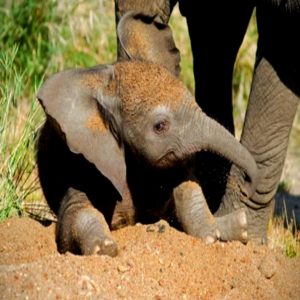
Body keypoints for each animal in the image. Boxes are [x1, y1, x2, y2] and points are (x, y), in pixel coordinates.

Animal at [36, 11, 256, 256]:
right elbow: (75, 211)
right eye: (160, 126)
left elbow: (187, 186)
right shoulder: (79, 158)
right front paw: (105, 248)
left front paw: (213, 234)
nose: (248, 187)